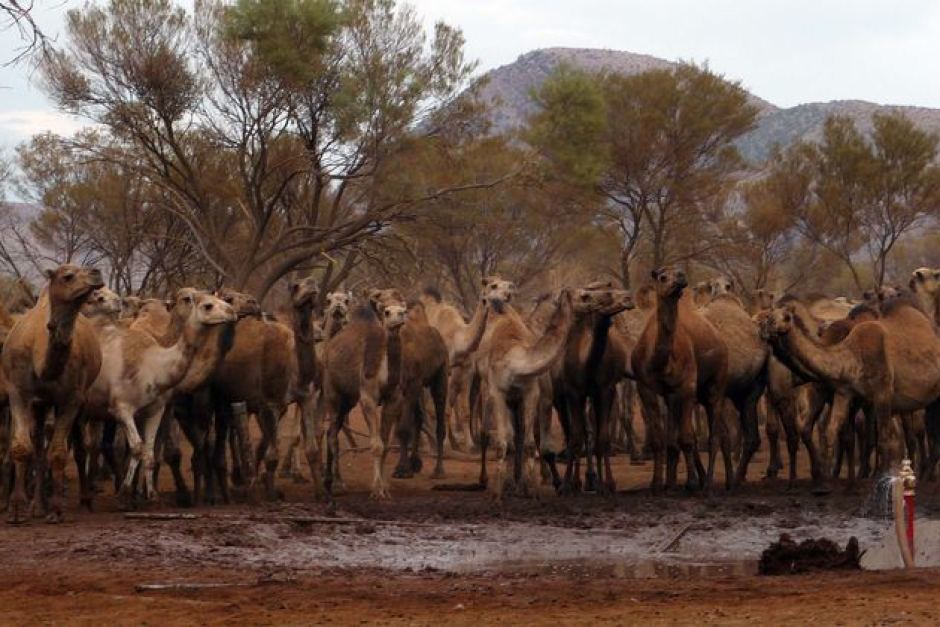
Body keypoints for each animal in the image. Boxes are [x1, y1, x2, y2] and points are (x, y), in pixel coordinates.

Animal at [0, 266, 104, 524]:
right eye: (67, 276)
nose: (96, 273)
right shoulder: (18, 393)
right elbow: (22, 447)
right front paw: (16, 509)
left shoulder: (72, 399)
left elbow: (57, 453)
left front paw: (56, 510)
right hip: (39, 405)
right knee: (38, 446)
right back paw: (37, 506)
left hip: (77, 401)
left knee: (79, 448)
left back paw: (83, 501)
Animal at [632, 268, 736, 494]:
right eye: (662, 277)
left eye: (678, 272)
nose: (680, 277)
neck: (659, 361)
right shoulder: (646, 388)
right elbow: (661, 440)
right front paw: (658, 484)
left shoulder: (687, 387)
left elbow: (687, 439)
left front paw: (691, 483)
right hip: (694, 394)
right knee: (719, 433)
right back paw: (726, 481)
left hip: (716, 386)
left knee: (715, 435)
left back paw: (709, 484)